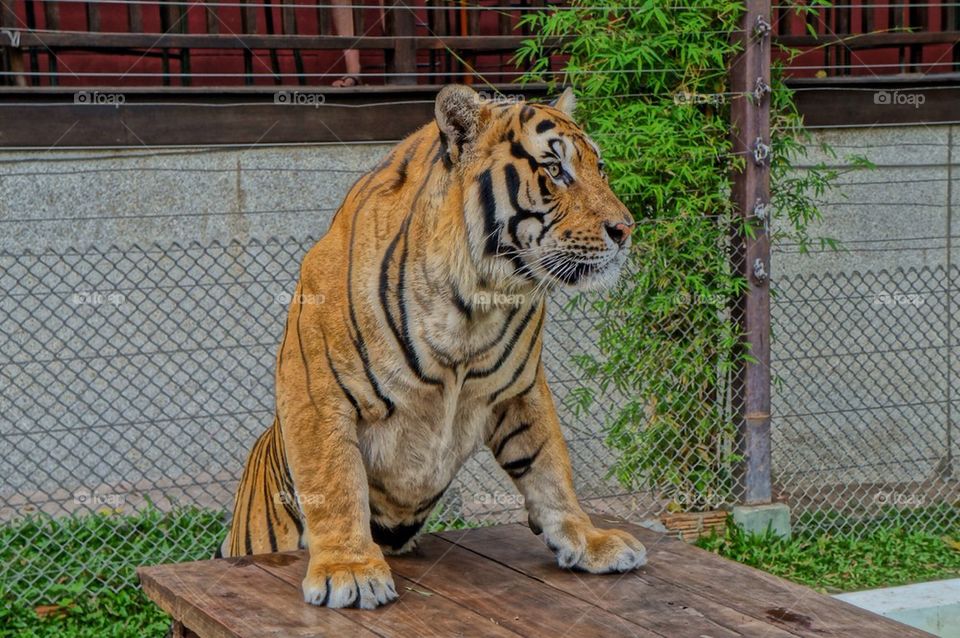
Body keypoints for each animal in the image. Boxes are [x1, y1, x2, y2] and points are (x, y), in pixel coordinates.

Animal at [219, 84, 646, 609]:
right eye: (554, 170)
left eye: (599, 169)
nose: (625, 230)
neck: (479, 302)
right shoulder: (316, 389)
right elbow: (334, 480)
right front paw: (349, 568)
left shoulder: (522, 389)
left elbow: (551, 467)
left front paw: (589, 540)